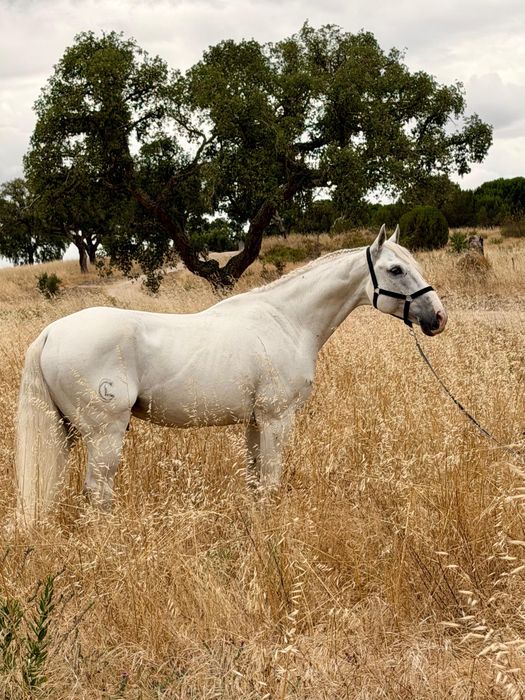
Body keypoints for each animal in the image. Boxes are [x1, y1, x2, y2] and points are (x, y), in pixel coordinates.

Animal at [15, 225, 447, 522]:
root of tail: (51, 333)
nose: (438, 318)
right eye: (395, 269)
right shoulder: (276, 419)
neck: (287, 321)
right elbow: (271, 480)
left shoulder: (256, 422)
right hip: (104, 435)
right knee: (97, 493)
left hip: (67, 432)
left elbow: (255, 480)